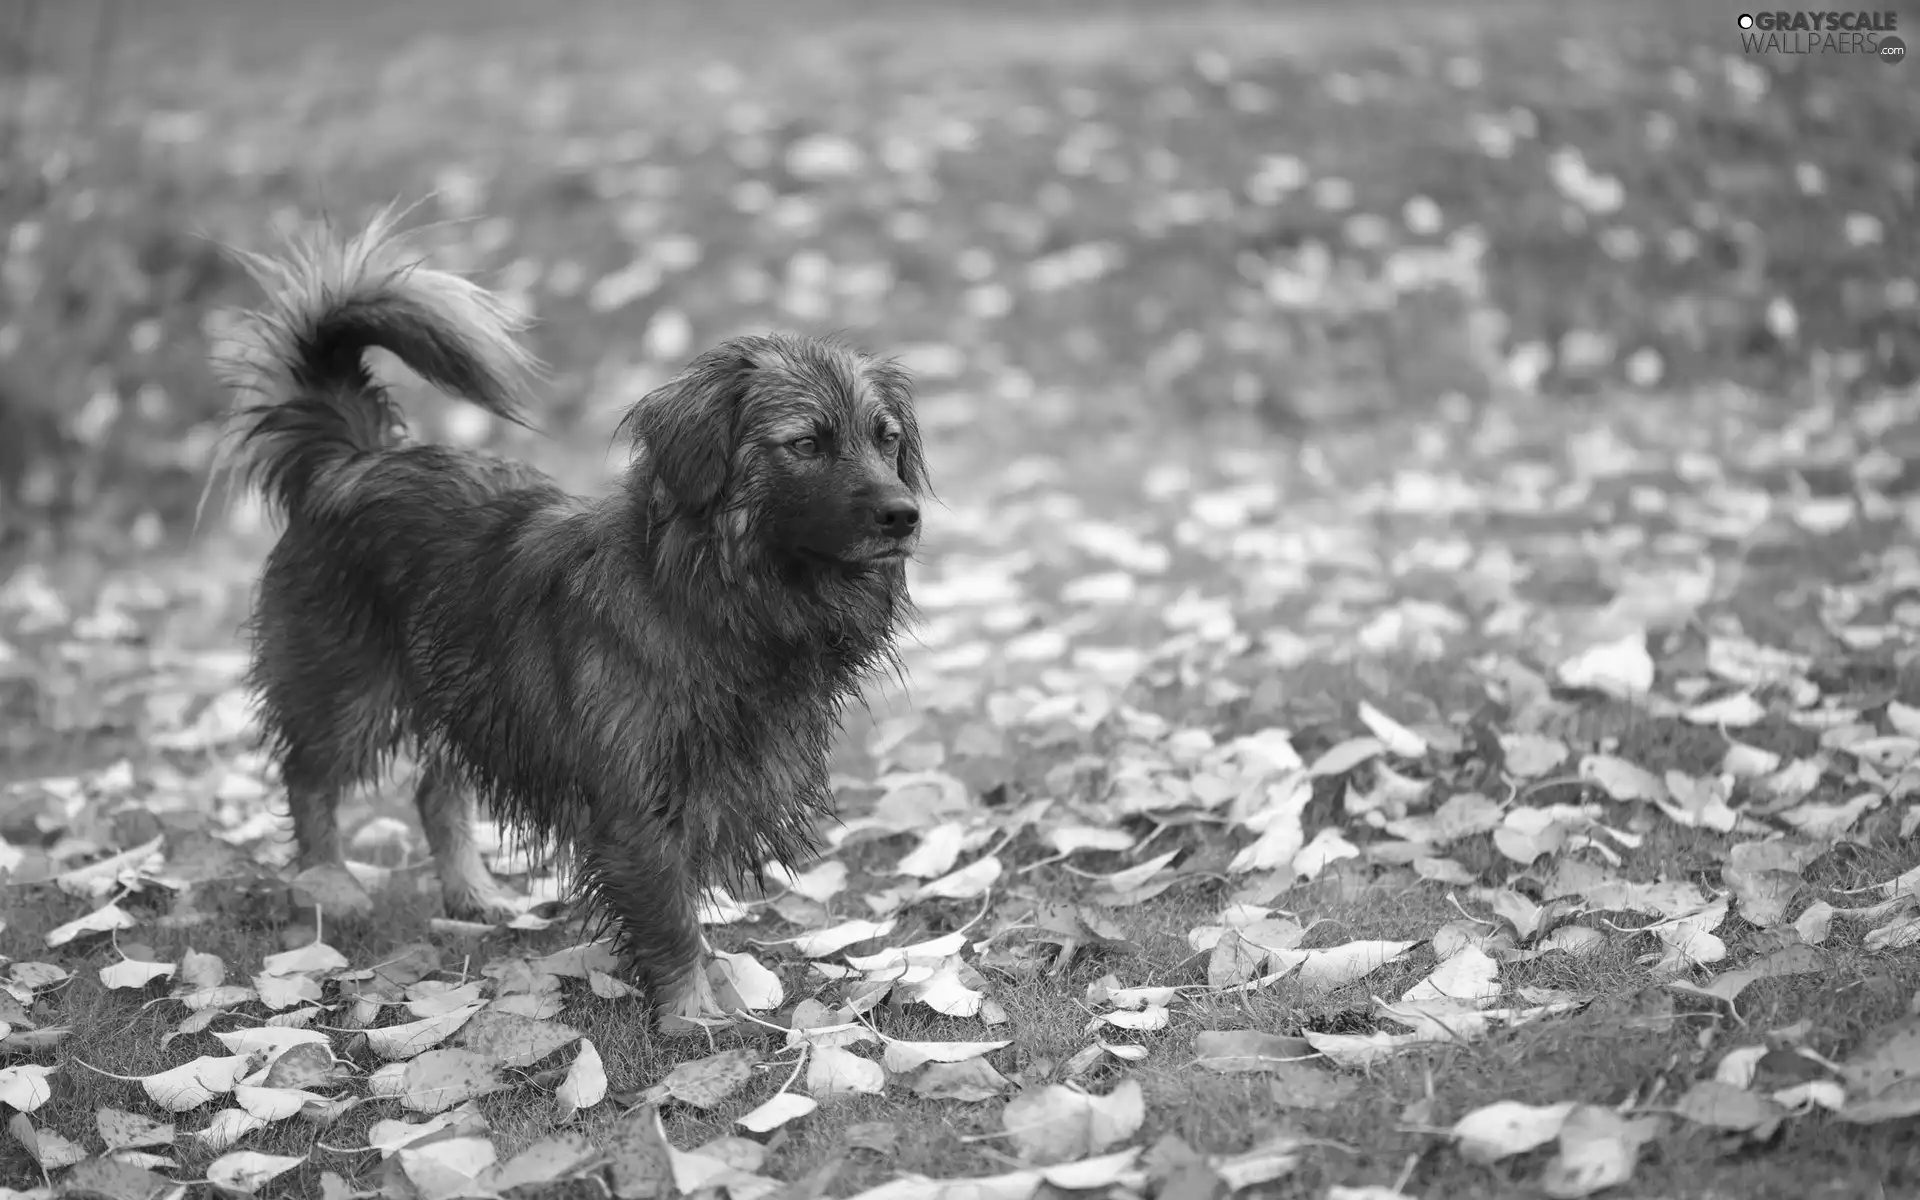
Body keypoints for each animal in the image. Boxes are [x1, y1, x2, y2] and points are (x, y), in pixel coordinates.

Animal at [214, 208, 925, 1021]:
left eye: (887, 439)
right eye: (805, 443)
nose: (905, 515)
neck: (718, 598)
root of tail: (350, 460)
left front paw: (710, 989)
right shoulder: (635, 799)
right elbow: (668, 913)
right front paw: (692, 1014)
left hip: (465, 684)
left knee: (433, 790)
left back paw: (472, 892)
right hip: (348, 687)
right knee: (309, 776)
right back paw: (326, 886)